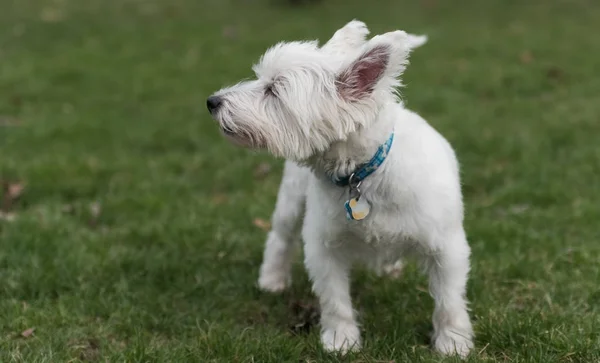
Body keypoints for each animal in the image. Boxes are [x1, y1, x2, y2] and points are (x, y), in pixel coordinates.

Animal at [206, 19, 474, 358]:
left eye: (273, 90)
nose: (212, 102)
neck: (361, 175)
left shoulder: (447, 247)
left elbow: (449, 301)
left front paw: (453, 342)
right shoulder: (324, 246)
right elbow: (335, 301)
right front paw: (341, 340)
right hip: (292, 200)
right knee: (279, 237)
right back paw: (272, 279)